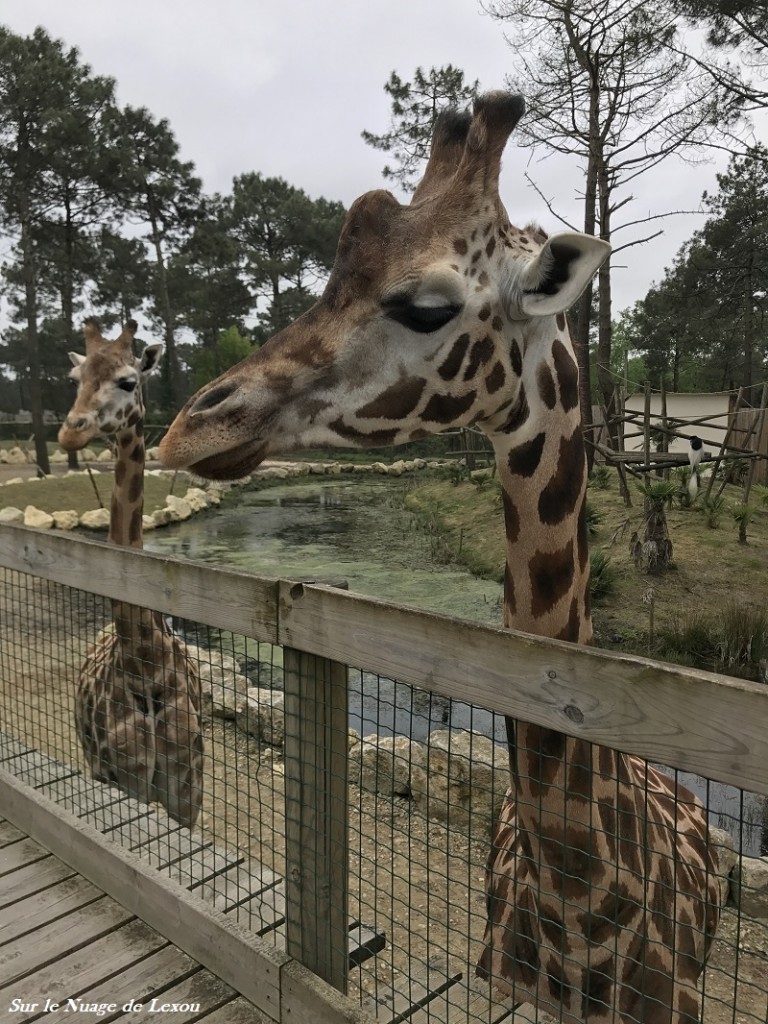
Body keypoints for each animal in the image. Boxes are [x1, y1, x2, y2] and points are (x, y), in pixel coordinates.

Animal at [59, 315, 204, 827]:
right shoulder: (130, 779)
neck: (144, 664)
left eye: (127, 380)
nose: (70, 434)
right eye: (75, 379)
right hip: (96, 766)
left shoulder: (187, 788)